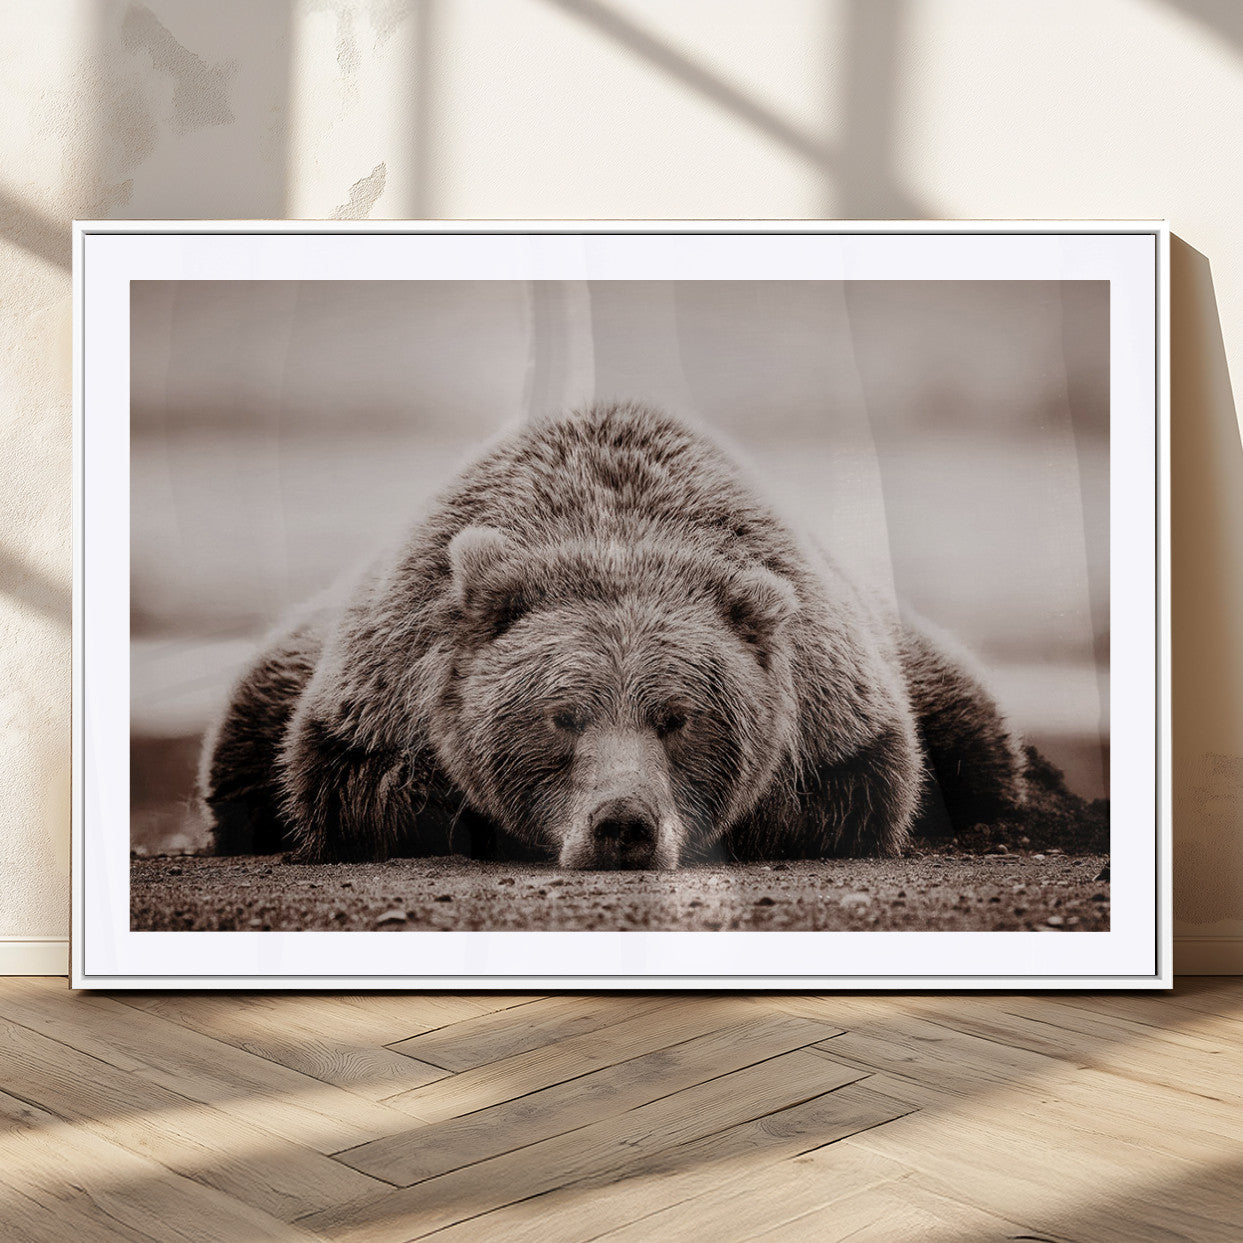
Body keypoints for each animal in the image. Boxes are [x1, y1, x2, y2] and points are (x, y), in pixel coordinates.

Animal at [199, 401, 1025, 869]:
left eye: (678, 717)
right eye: (561, 715)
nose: (622, 824)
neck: (613, 526)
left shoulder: (837, 705)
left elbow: (851, 791)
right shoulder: (379, 688)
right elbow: (361, 786)